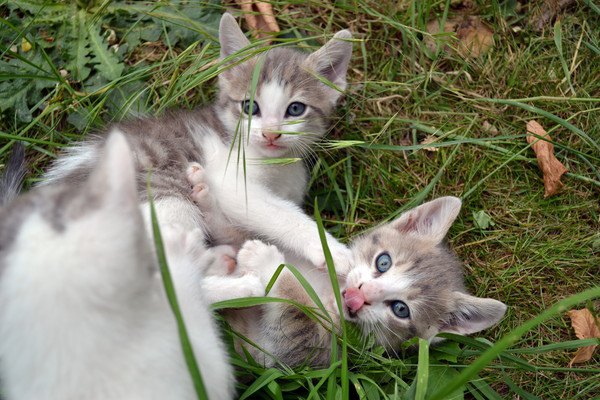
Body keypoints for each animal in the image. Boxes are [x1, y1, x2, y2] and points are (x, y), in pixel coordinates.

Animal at [42, 12, 356, 294]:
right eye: (249, 107)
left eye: (295, 109)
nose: (270, 134)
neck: (276, 163)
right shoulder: (230, 175)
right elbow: (276, 212)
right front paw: (331, 251)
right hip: (160, 203)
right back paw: (244, 286)